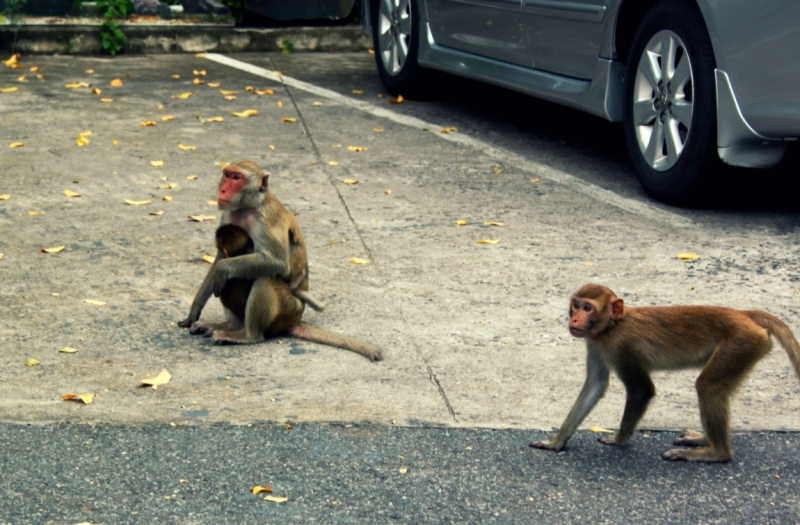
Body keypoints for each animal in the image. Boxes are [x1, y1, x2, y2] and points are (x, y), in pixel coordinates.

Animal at [178, 160, 384, 362]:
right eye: (227, 175)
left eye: (237, 177)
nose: (222, 190)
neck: (247, 208)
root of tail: (295, 319)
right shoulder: (228, 215)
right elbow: (220, 258)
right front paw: (194, 310)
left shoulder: (266, 219)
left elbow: (275, 263)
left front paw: (222, 269)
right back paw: (230, 324)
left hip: (287, 310)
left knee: (265, 279)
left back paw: (247, 336)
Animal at [532, 284, 800, 460]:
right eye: (576, 305)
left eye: (587, 308)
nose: (575, 319)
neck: (612, 327)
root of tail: (744, 314)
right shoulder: (595, 343)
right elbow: (595, 386)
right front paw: (557, 441)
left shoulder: (622, 346)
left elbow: (642, 389)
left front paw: (619, 440)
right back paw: (703, 439)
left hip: (740, 343)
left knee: (708, 386)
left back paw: (715, 453)